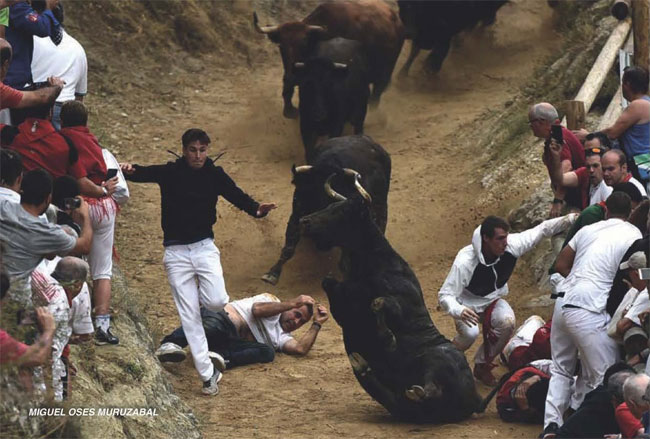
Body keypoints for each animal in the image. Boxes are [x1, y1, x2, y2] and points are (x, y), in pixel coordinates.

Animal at [252, 0, 400, 118]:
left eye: (304, 43)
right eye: (281, 46)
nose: (291, 76)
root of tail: (395, 18)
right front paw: (290, 110)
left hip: (385, 72)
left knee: (377, 93)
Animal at [260, 137, 390, 288]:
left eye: (328, 206)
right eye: (299, 193)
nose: (304, 221)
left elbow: (345, 263)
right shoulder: (296, 215)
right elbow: (289, 247)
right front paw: (272, 274)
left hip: (382, 205)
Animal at [298, 195, 480, 422]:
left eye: (342, 210)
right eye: (330, 205)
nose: (304, 221)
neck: (367, 267)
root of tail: (476, 401)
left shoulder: (401, 304)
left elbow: (379, 302)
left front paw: (388, 339)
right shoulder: (343, 306)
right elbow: (329, 284)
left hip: (437, 359)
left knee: (428, 388)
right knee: (399, 402)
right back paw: (362, 364)